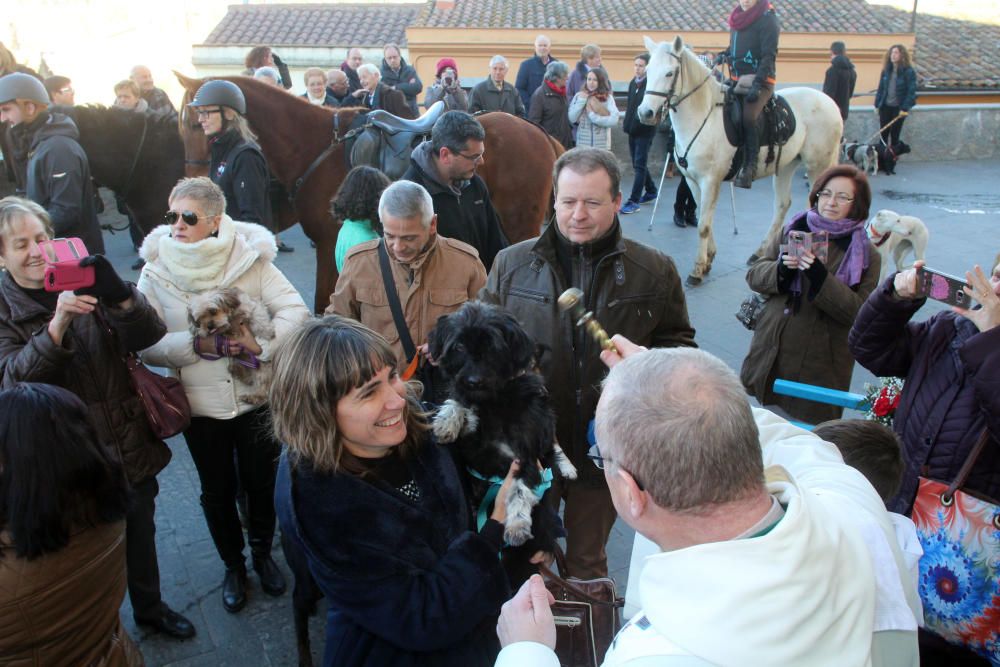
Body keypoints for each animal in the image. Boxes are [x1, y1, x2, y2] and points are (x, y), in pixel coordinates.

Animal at [426, 300, 576, 580]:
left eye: (493, 347)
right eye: (459, 346)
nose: (473, 381)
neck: (496, 401)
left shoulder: (526, 456)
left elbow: (520, 486)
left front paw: (516, 523)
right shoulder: (471, 442)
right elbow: (461, 402)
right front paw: (448, 419)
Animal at [640, 36, 844, 286]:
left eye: (670, 73)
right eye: (648, 71)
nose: (645, 113)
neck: (703, 115)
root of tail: (830, 102)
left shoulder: (710, 181)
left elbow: (703, 226)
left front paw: (697, 270)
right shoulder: (692, 180)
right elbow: (705, 219)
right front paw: (709, 259)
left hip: (818, 166)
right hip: (786, 166)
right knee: (782, 204)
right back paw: (760, 251)